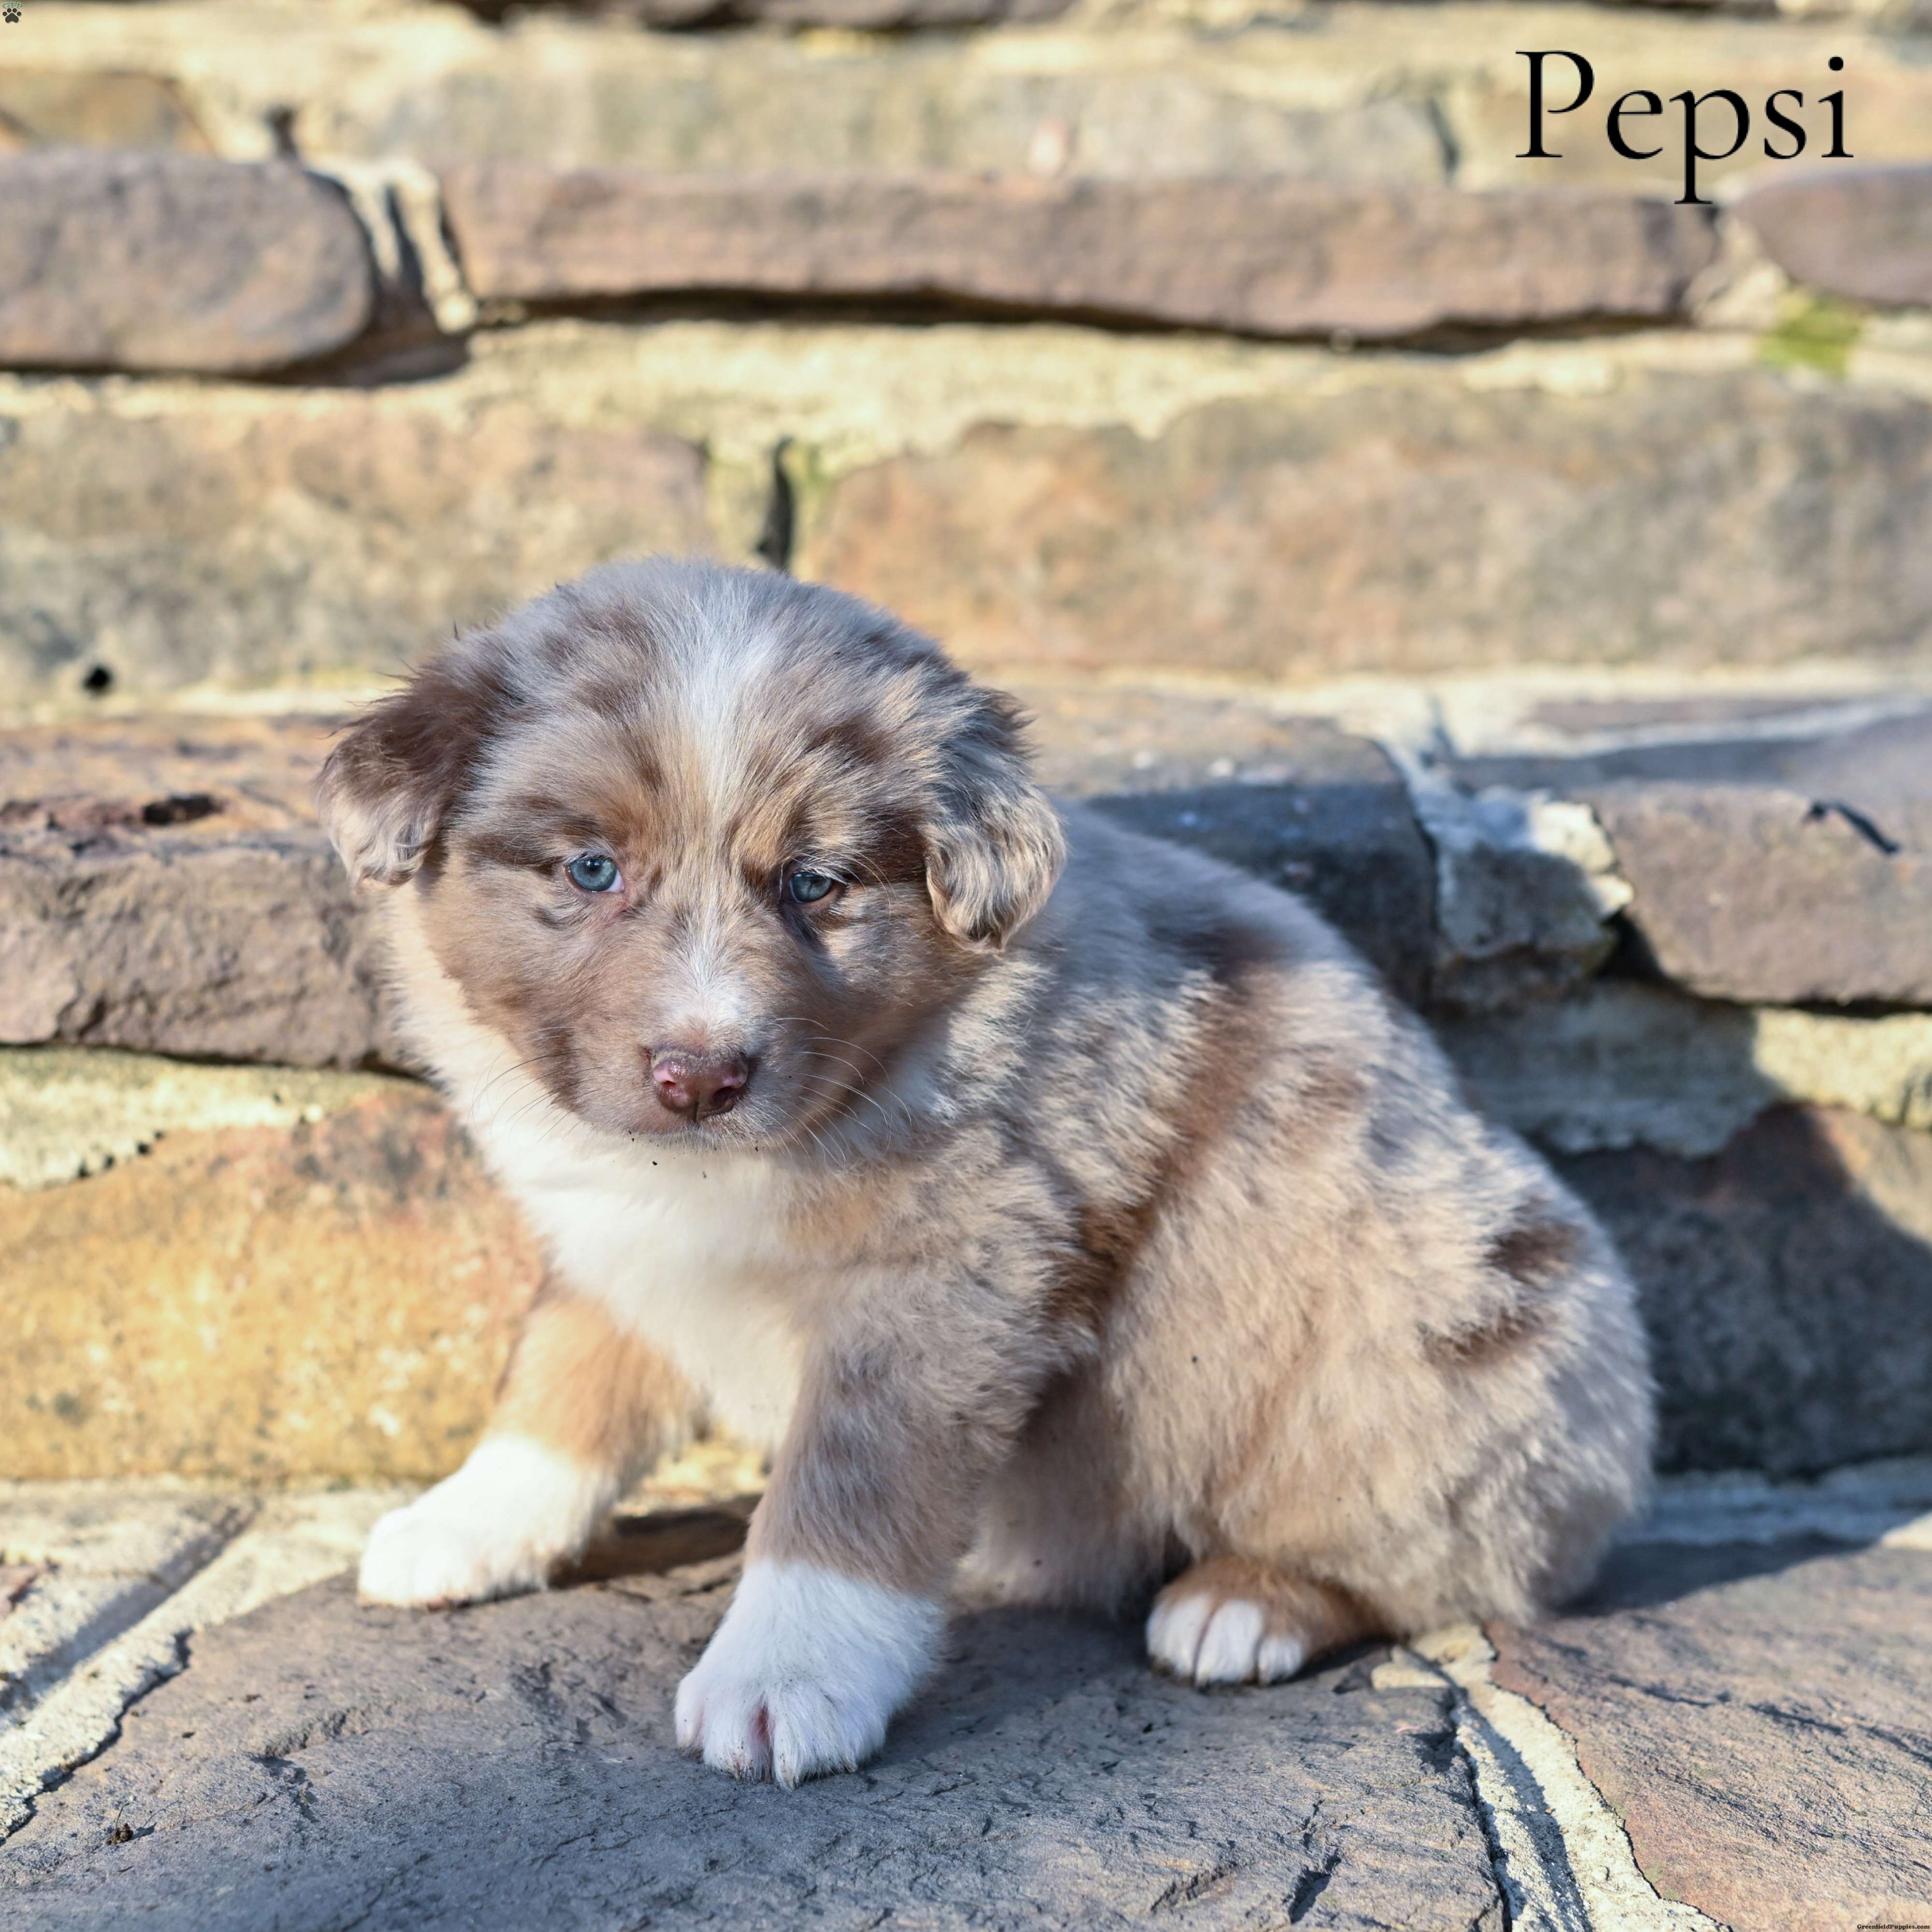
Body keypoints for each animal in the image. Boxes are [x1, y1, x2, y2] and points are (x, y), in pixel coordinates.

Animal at [318, 557, 1653, 1788]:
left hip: (1428, 1339)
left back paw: (1242, 1605)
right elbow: (557, 1378)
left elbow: (845, 1485)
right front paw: (465, 1522)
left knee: (1427, 1551)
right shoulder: (616, 1246)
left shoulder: (950, 1271)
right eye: (589, 869)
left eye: (815, 882)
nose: (700, 1078)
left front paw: (780, 1677)